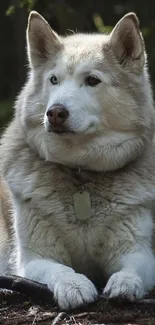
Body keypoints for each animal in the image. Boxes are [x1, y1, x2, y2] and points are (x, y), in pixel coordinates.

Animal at [0, 10, 155, 308]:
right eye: (54, 80)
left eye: (92, 80)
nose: (55, 113)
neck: (80, 171)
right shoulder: (35, 258)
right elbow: (60, 269)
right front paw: (74, 286)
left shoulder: (137, 251)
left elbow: (131, 270)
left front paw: (125, 284)